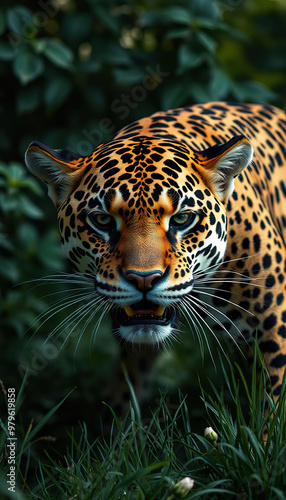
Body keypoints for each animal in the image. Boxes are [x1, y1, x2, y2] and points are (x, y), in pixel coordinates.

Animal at [25, 101, 286, 418]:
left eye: (182, 218)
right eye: (102, 220)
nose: (144, 279)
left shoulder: (273, 324)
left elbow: (271, 409)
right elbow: (126, 387)